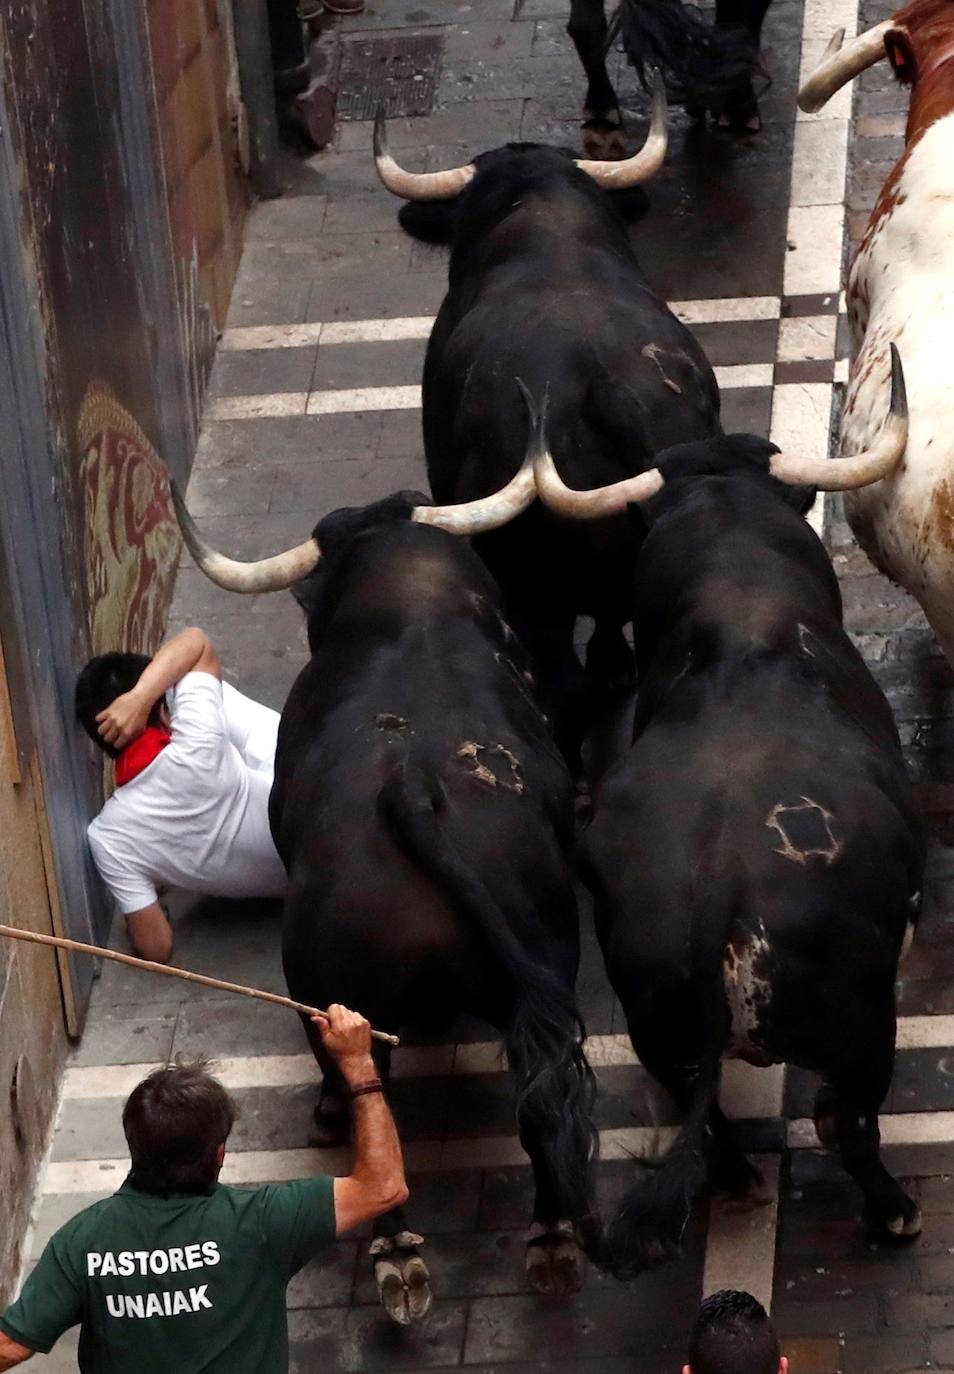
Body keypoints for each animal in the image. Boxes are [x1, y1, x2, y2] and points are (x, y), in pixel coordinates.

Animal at [571, 434, 929, 1269]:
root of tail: (722, 890)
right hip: (864, 1026)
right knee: (847, 1122)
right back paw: (895, 1214)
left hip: (659, 1031)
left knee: (703, 1117)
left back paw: (738, 1181)